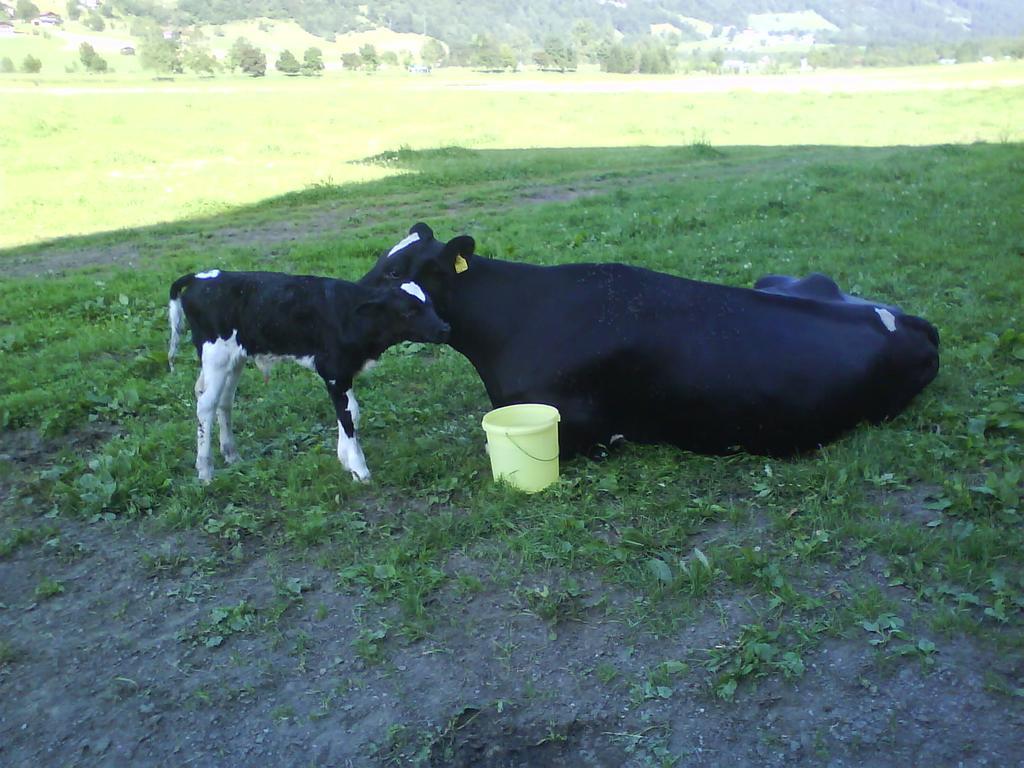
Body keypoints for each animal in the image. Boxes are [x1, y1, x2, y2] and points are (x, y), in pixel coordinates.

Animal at [167, 272, 448, 481]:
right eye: (408, 311)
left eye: (430, 303)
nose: (445, 328)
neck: (349, 314)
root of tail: (200, 277)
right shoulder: (333, 371)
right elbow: (348, 415)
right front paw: (359, 469)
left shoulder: (342, 373)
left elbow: (351, 413)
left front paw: (344, 459)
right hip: (216, 355)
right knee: (206, 405)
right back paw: (205, 470)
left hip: (233, 358)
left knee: (223, 401)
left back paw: (231, 454)